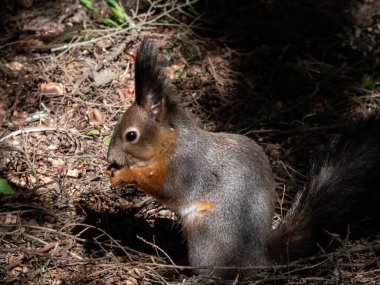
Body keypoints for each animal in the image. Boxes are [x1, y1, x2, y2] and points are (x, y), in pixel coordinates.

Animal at [106, 38, 380, 276]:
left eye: (131, 135)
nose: (110, 157)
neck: (171, 142)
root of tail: (255, 259)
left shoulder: (184, 167)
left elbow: (164, 187)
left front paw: (124, 174)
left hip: (205, 228)